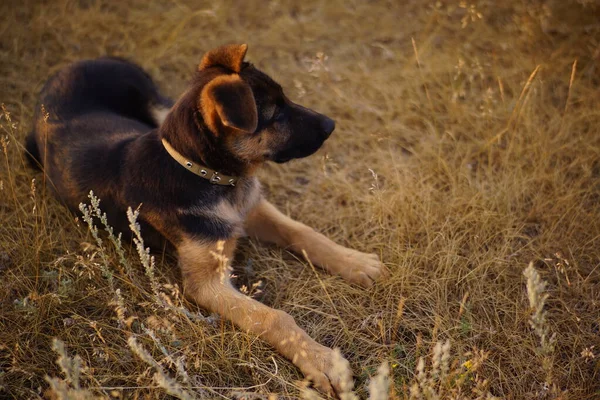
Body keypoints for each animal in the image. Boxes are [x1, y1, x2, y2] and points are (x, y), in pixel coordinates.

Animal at [25, 43, 386, 394]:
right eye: (276, 113)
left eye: (285, 99)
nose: (331, 125)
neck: (204, 174)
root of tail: (84, 60)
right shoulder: (207, 283)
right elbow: (273, 317)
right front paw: (322, 361)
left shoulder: (250, 208)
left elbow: (303, 232)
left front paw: (354, 261)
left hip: (158, 107)